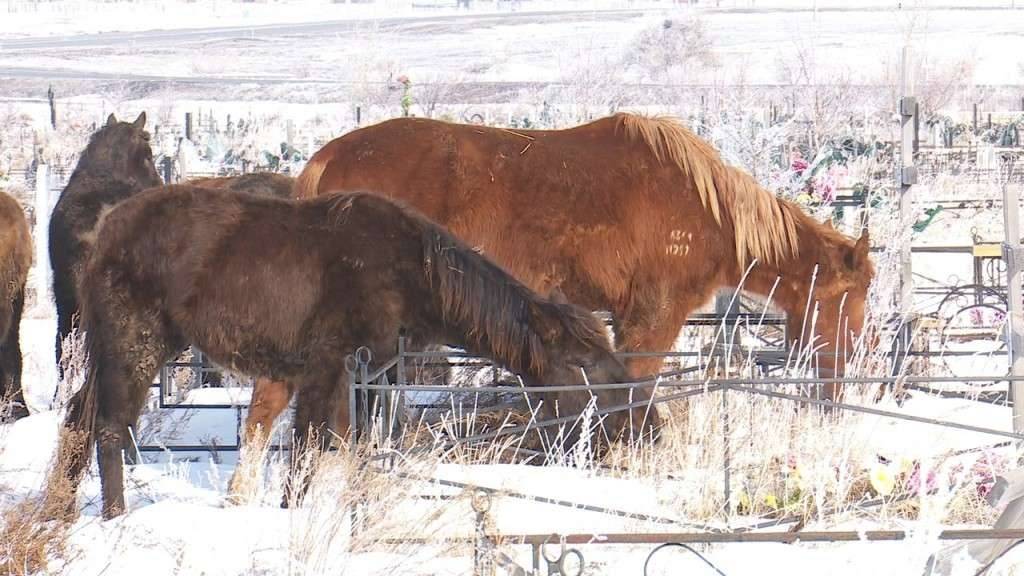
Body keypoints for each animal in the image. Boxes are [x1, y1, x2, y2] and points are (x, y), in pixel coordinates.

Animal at [56, 186, 655, 518]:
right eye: (583, 364)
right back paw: (114, 518)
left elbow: (346, 449)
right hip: (134, 343)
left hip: (114, 349)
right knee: (108, 427)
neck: (416, 277)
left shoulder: (360, 375)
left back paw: (60, 508)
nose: (641, 421)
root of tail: (102, 234)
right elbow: (307, 452)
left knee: (79, 415)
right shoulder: (329, 366)